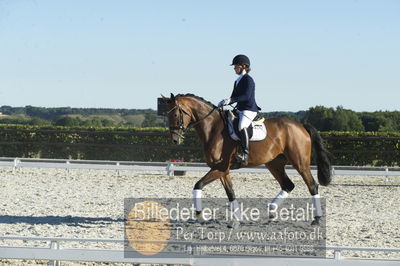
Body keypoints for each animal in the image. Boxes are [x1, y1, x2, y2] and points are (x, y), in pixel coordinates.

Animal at [161, 93, 332, 227]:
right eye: (167, 115)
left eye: (175, 115)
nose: (175, 139)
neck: (213, 128)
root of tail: (301, 126)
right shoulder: (223, 170)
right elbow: (230, 193)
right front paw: (236, 220)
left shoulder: (221, 167)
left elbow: (198, 185)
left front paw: (200, 214)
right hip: (274, 164)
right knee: (288, 185)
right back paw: (271, 211)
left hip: (300, 163)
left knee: (312, 185)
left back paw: (316, 219)